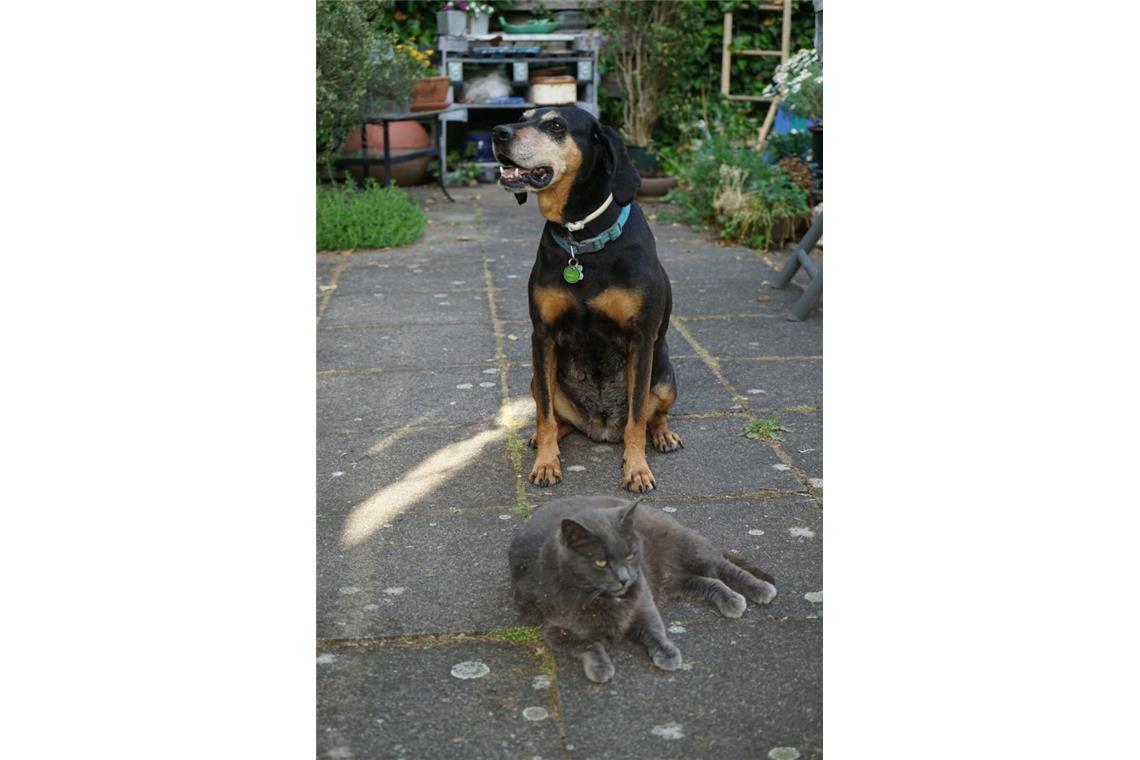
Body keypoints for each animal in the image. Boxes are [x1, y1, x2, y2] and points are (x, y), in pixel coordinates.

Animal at [492, 107, 684, 494]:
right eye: (521, 116)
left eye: (555, 125)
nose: (497, 132)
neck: (580, 239)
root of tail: (601, 427)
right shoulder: (543, 336)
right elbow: (545, 415)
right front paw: (546, 463)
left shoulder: (641, 339)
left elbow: (637, 418)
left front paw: (637, 469)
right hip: (536, 381)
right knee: (554, 416)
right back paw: (543, 440)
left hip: (666, 379)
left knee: (654, 414)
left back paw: (663, 435)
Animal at [513, 494, 779, 683]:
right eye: (600, 562)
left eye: (630, 555)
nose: (625, 578)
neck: (602, 597)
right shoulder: (553, 630)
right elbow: (587, 645)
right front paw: (601, 667)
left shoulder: (643, 600)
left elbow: (653, 628)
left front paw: (667, 653)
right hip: (674, 580)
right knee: (709, 581)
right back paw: (730, 599)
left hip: (688, 548)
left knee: (722, 566)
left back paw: (758, 588)